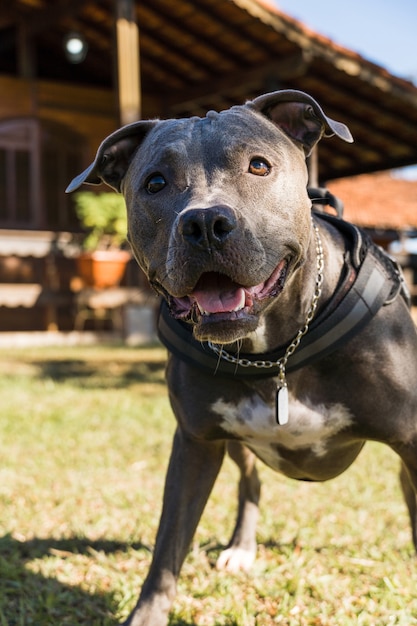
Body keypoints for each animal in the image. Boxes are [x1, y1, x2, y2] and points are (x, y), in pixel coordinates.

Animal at [66, 89, 416, 624]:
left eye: (258, 166)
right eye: (155, 182)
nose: (205, 222)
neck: (273, 354)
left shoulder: (412, 439)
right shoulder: (196, 443)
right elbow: (168, 548)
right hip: (237, 444)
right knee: (250, 487)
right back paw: (241, 549)